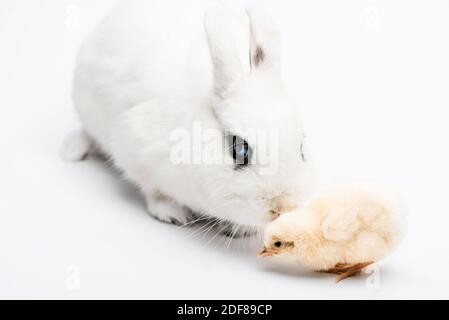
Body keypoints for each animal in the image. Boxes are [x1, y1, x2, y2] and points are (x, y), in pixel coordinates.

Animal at [61, 0, 310, 234]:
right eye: (239, 150)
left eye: (301, 148)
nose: (283, 207)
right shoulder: (135, 151)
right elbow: (154, 191)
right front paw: (172, 213)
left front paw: (239, 230)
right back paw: (72, 149)